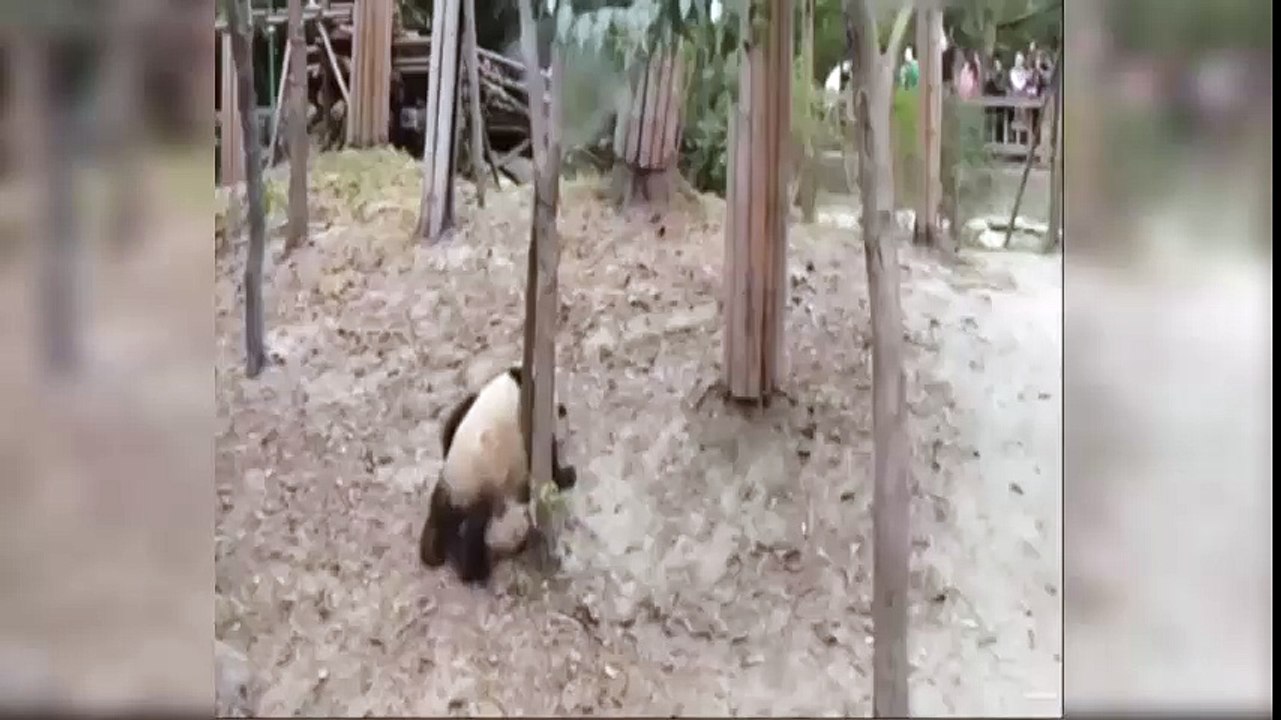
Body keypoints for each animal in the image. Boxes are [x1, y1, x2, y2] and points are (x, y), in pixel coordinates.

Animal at [418, 366, 577, 586]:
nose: (562, 409)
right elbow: (545, 455)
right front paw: (566, 475)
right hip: (478, 488)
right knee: (474, 532)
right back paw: (475, 570)